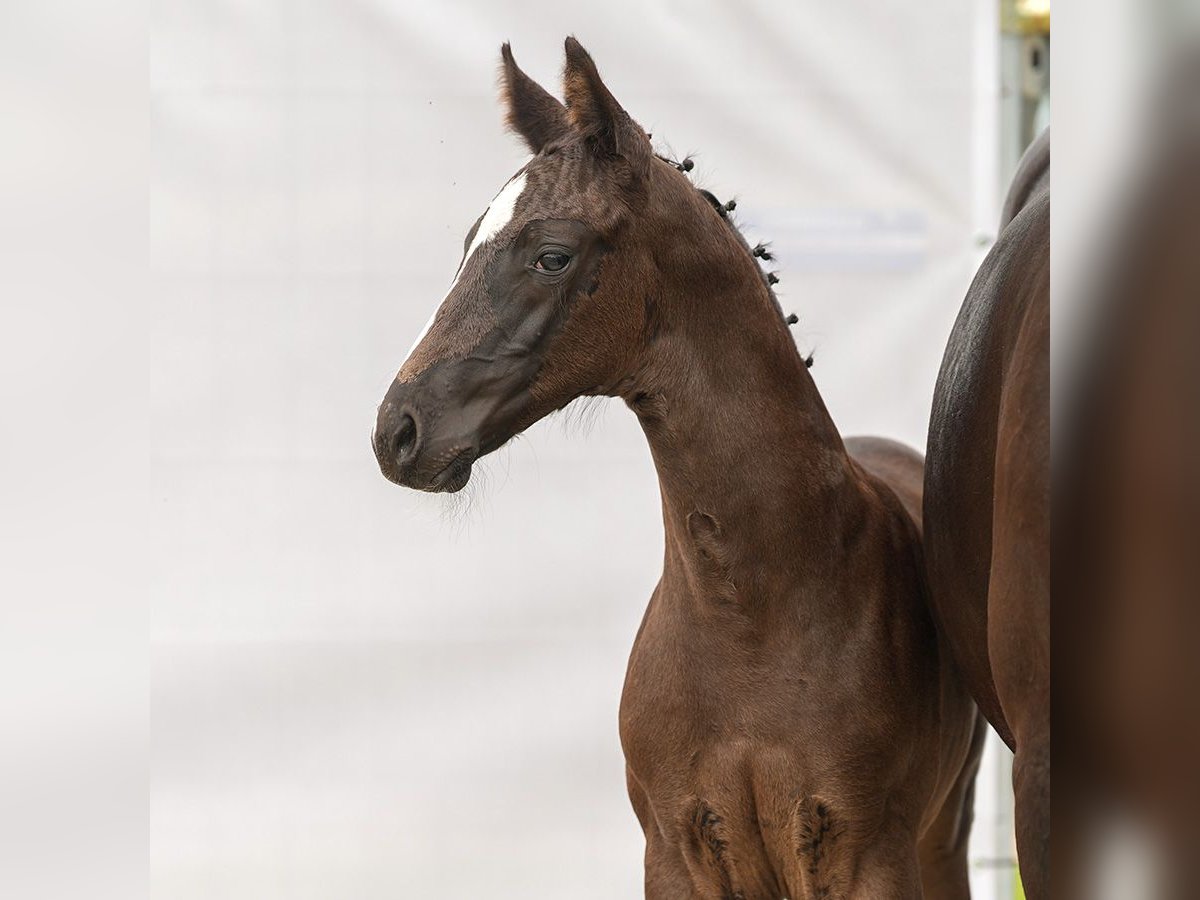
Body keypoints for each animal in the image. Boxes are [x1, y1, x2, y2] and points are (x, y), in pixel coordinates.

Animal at [374, 38, 984, 897]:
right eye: (466, 246)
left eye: (551, 256)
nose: (397, 430)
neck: (748, 623)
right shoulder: (671, 853)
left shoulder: (873, 857)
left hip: (944, 838)